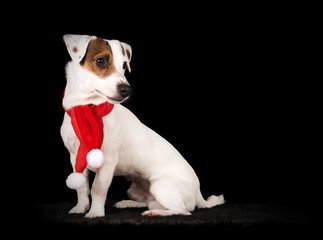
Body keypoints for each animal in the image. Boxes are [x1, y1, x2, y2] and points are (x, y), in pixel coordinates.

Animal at [60, 33, 225, 218]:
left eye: (124, 65)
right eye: (101, 61)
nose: (126, 89)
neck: (86, 109)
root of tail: (198, 194)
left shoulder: (107, 161)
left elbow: (97, 189)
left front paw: (95, 212)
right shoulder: (75, 157)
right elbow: (81, 188)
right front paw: (80, 208)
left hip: (161, 186)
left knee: (182, 210)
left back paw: (157, 213)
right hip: (135, 190)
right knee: (150, 202)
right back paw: (128, 203)